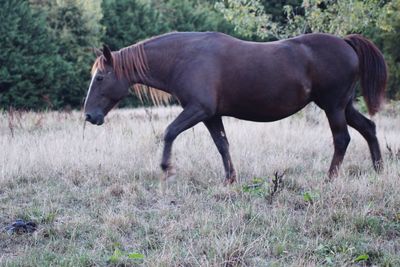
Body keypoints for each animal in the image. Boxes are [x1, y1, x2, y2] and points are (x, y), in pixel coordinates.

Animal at [83, 31, 388, 184]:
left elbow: (169, 132)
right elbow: (222, 145)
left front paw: (166, 167)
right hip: (343, 106)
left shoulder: (199, 110)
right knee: (368, 128)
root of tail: (345, 42)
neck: (184, 57)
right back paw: (378, 170)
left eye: (100, 78)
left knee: (342, 139)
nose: (89, 116)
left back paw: (330, 178)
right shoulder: (212, 115)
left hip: (333, 106)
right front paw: (230, 179)